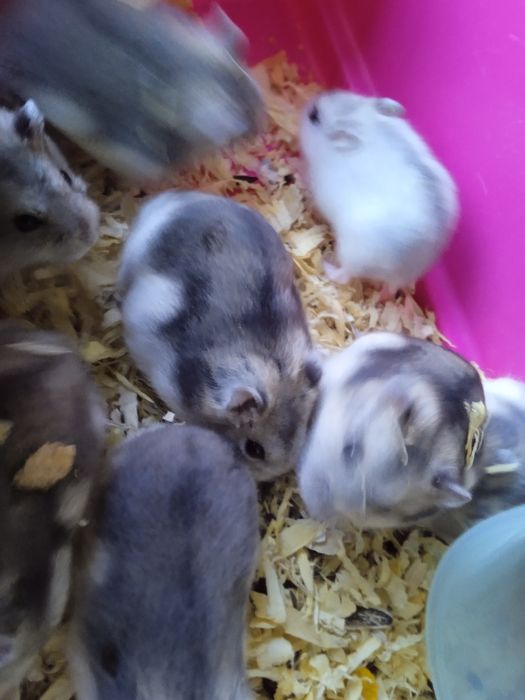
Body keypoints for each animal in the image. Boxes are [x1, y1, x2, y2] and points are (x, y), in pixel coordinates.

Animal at [300, 90, 459, 293]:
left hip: (354, 250)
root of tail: (403, 274)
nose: (307, 104)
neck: (364, 124)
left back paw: (327, 266)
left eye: (314, 116)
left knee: (345, 275)